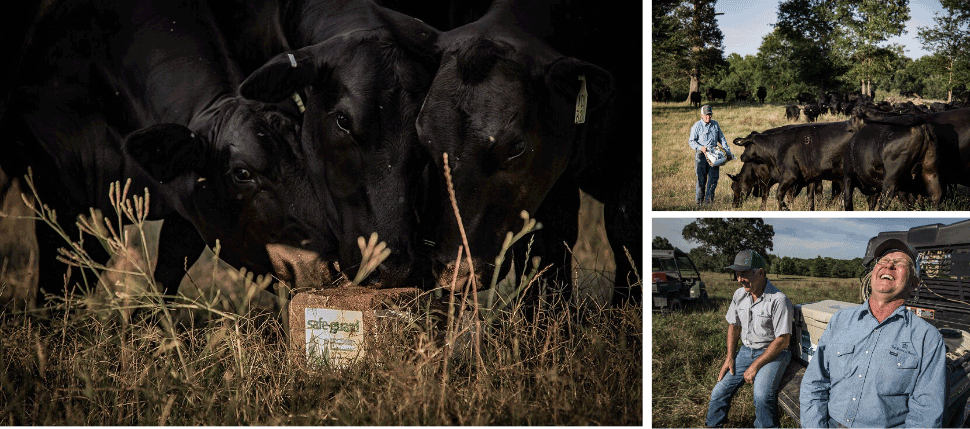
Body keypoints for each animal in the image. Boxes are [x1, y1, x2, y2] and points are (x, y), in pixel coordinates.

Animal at [2, 0, 332, 302]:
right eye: (241, 173)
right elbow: (60, 283)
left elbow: (167, 277)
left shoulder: (187, 207)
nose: (329, 265)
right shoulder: (58, 190)